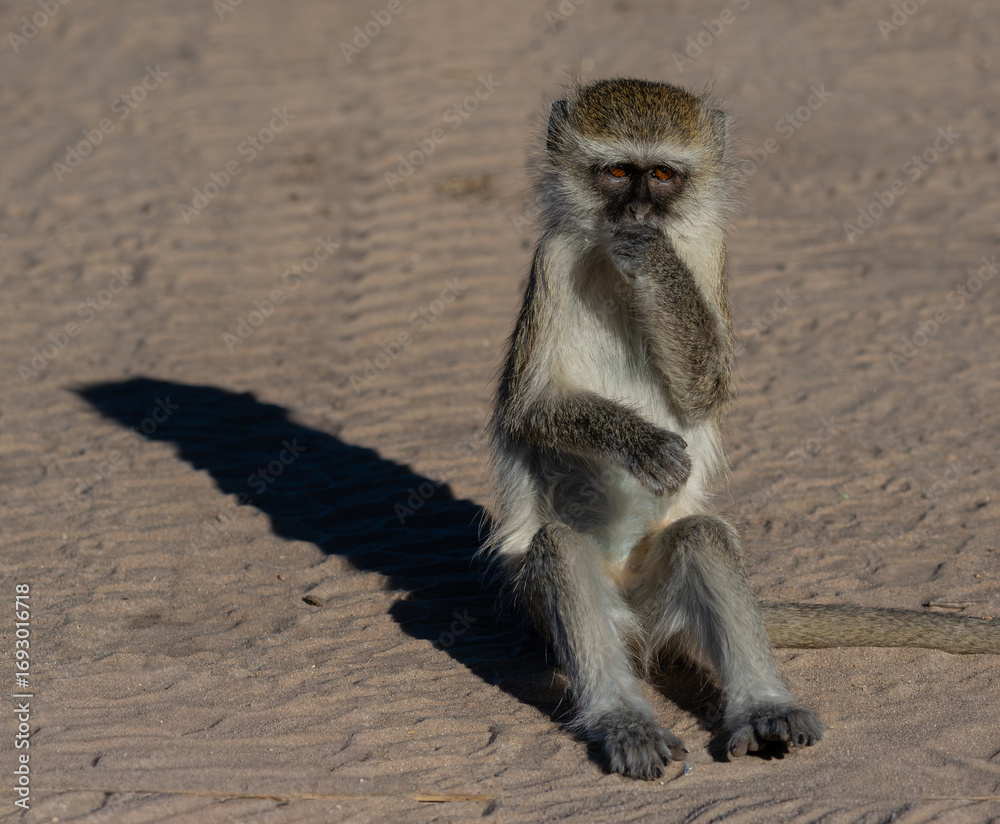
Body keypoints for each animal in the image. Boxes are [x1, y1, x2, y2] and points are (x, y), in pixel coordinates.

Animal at [484, 77, 1000, 780]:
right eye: (618, 172)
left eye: (662, 176)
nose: (638, 216)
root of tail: (636, 615)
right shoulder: (551, 259)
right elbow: (527, 409)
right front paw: (643, 443)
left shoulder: (709, 251)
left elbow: (706, 391)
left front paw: (655, 260)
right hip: (543, 605)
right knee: (560, 550)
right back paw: (623, 719)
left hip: (662, 586)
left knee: (703, 536)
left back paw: (763, 709)